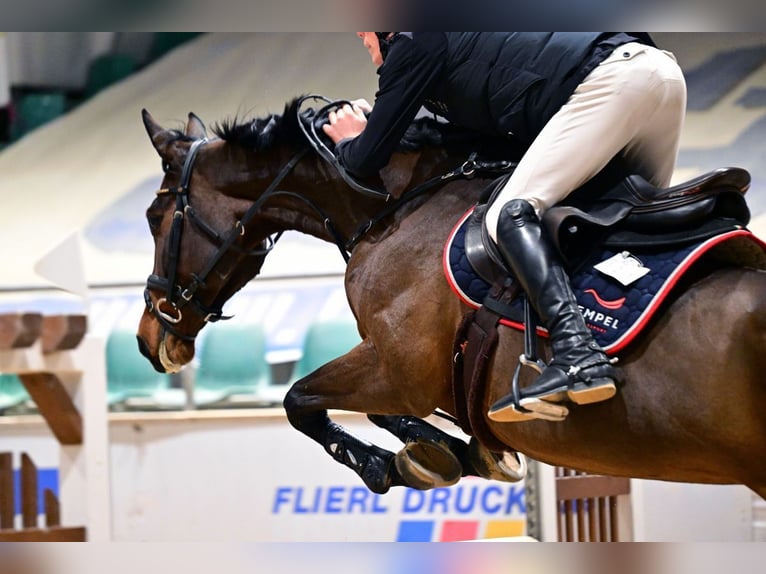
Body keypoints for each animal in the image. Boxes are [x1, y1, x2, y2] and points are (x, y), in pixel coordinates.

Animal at [136, 98, 766, 500]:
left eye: (154, 217)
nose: (148, 339)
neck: (399, 203)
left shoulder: (402, 367)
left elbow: (298, 399)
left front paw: (386, 465)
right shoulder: (412, 371)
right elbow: (373, 410)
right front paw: (458, 454)